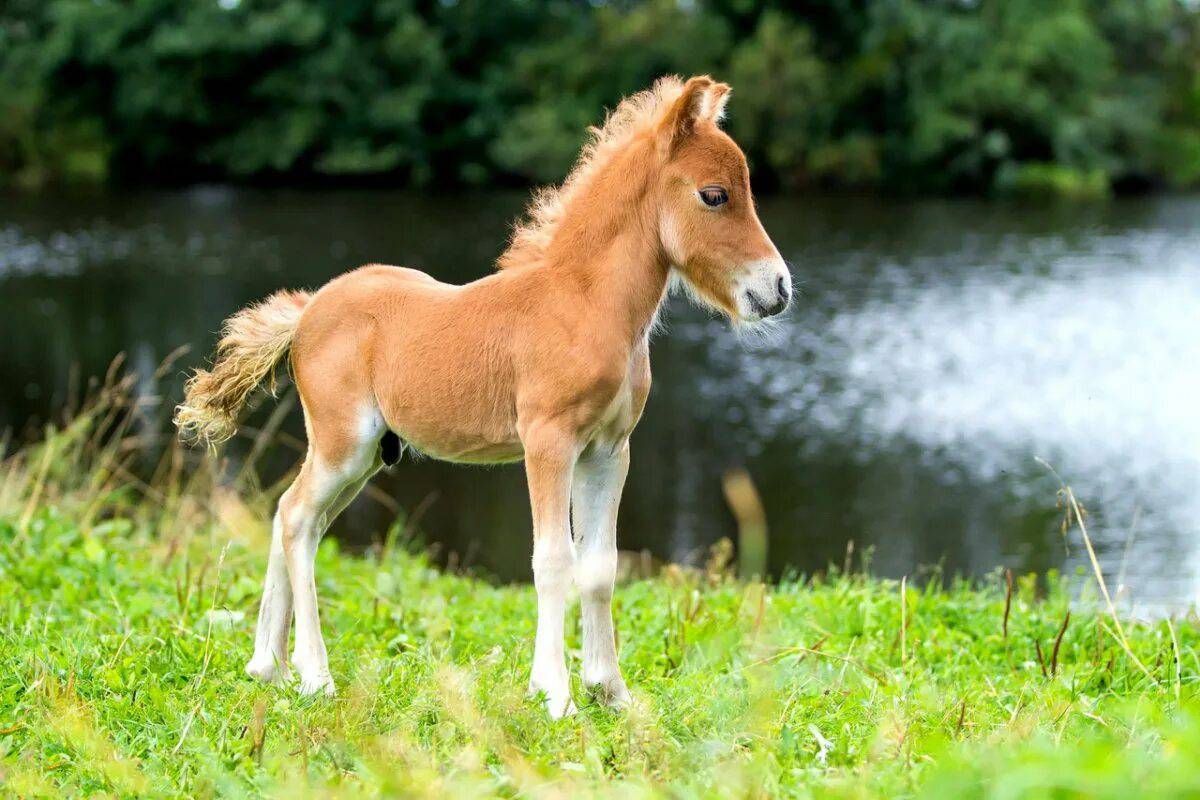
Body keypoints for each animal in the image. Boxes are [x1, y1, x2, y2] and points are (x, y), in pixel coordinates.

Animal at [175, 74, 787, 719]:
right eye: (714, 195)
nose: (778, 289)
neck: (585, 303)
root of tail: (308, 310)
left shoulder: (609, 450)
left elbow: (600, 567)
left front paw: (611, 692)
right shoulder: (549, 442)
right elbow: (554, 560)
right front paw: (556, 694)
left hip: (363, 459)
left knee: (295, 519)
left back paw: (266, 666)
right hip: (344, 444)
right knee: (295, 519)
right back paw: (315, 676)